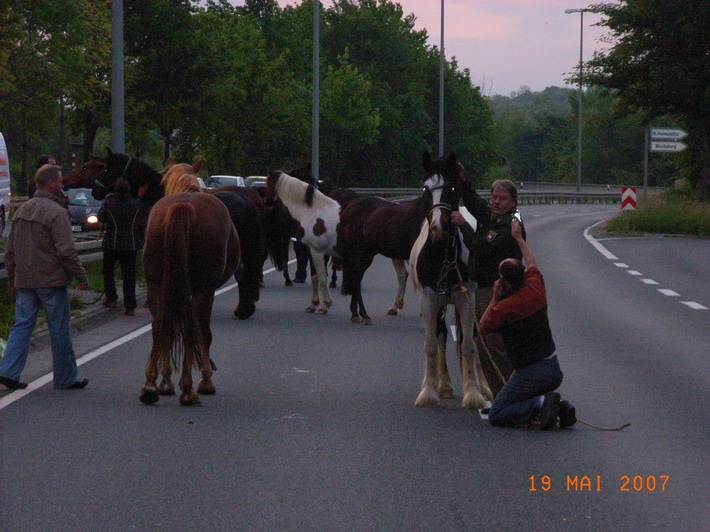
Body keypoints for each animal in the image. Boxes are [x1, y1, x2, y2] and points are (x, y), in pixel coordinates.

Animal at [140, 168, 242, 406]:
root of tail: (184, 207)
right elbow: (200, 333)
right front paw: (205, 379)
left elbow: (169, 330)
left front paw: (165, 382)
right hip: (204, 290)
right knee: (194, 330)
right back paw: (190, 389)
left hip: (156, 286)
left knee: (160, 326)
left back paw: (150, 386)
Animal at [268, 168, 344, 314]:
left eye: (268, 183)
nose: (266, 202)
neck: (312, 211)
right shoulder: (311, 251)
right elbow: (314, 277)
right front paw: (313, 304)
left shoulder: (317, 252)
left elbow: (322, 277)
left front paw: (325, 305)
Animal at [408, 152, 492, 410]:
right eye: (426, 189)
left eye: (453, 188)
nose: (437, 228)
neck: (441, 254)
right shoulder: (428, 298)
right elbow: (431, 344)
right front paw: (428, 391)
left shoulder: (466, 299)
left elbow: (468, 346)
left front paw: (473, 394)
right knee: (441, 334)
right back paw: (443, 385)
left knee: (472, 337)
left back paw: (483, 387)